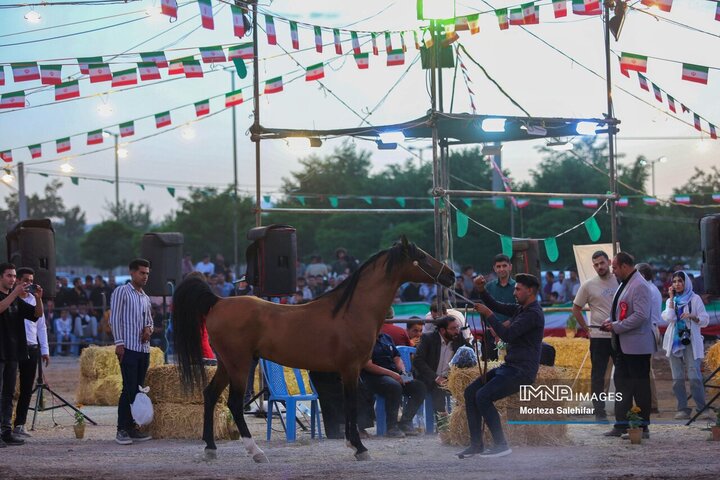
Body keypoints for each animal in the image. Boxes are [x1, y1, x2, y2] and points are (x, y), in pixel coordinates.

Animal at [172, 236, 452, 462]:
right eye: (421, 256)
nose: (450, 275)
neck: (352, 310)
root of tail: (217, 301)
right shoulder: (350, 369)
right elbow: (351, 406)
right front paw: (359, 448)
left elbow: (348, 407)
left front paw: (352, 444)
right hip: (239, 365)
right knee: (233, 403)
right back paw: (256, 452)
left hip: (226, 365)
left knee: (210, 395)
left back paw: (210, 448)